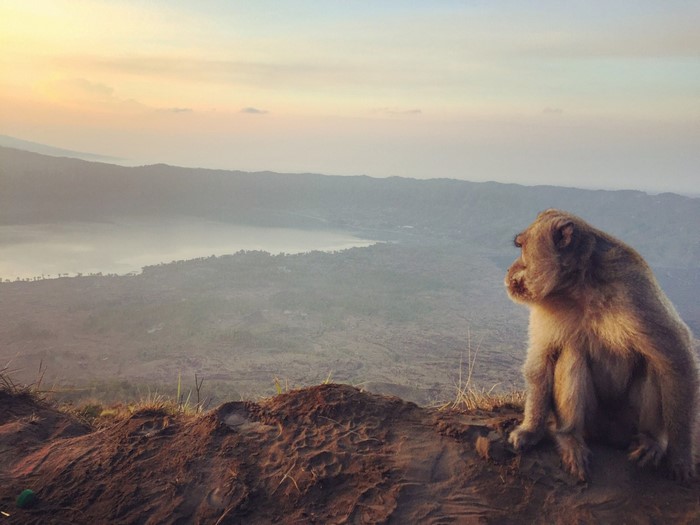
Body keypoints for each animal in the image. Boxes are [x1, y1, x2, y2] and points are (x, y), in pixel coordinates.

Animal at [504, 209, 698, 482]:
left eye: (521, 247)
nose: (510, 269)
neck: (580, 286)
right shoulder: (546, 307)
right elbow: (541, 361)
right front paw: (531, 430)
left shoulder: (633, 290)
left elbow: (677, 358)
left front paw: (680, 457)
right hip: (593, 423)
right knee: (573, 352)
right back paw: (570, 438)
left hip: (628, 422)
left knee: (653, 364)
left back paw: (650, 441)